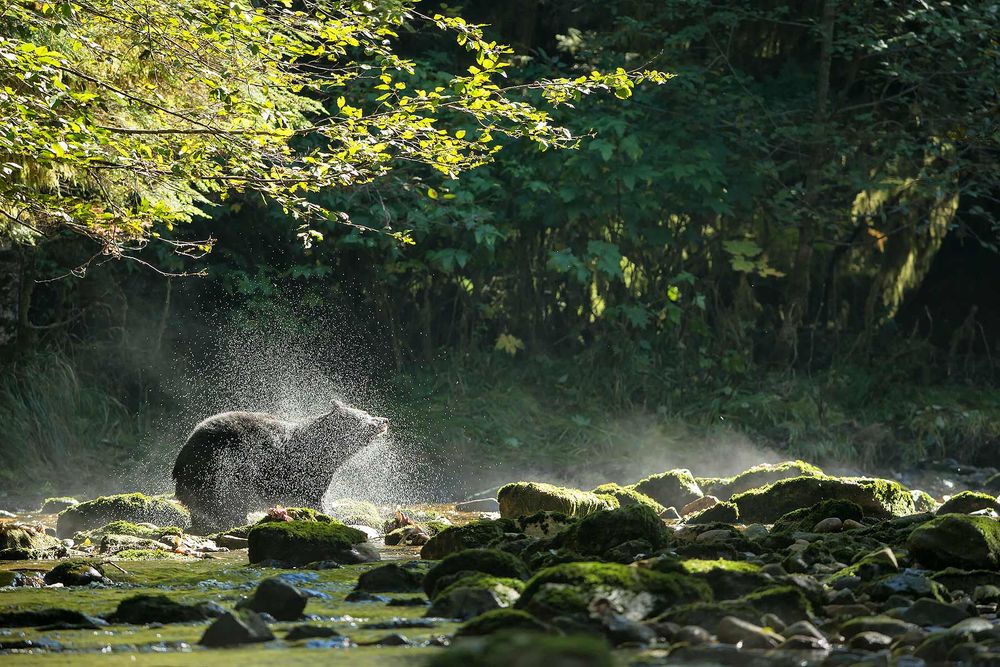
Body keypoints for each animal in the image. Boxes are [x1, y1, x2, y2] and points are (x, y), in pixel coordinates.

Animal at [172, 400, 388, 533]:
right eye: (365, 414)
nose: (384, 420)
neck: (326, 453)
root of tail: (182, 454)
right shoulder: (304, 471)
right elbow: (314, 499)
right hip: (218, 466)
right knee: (222, 500)